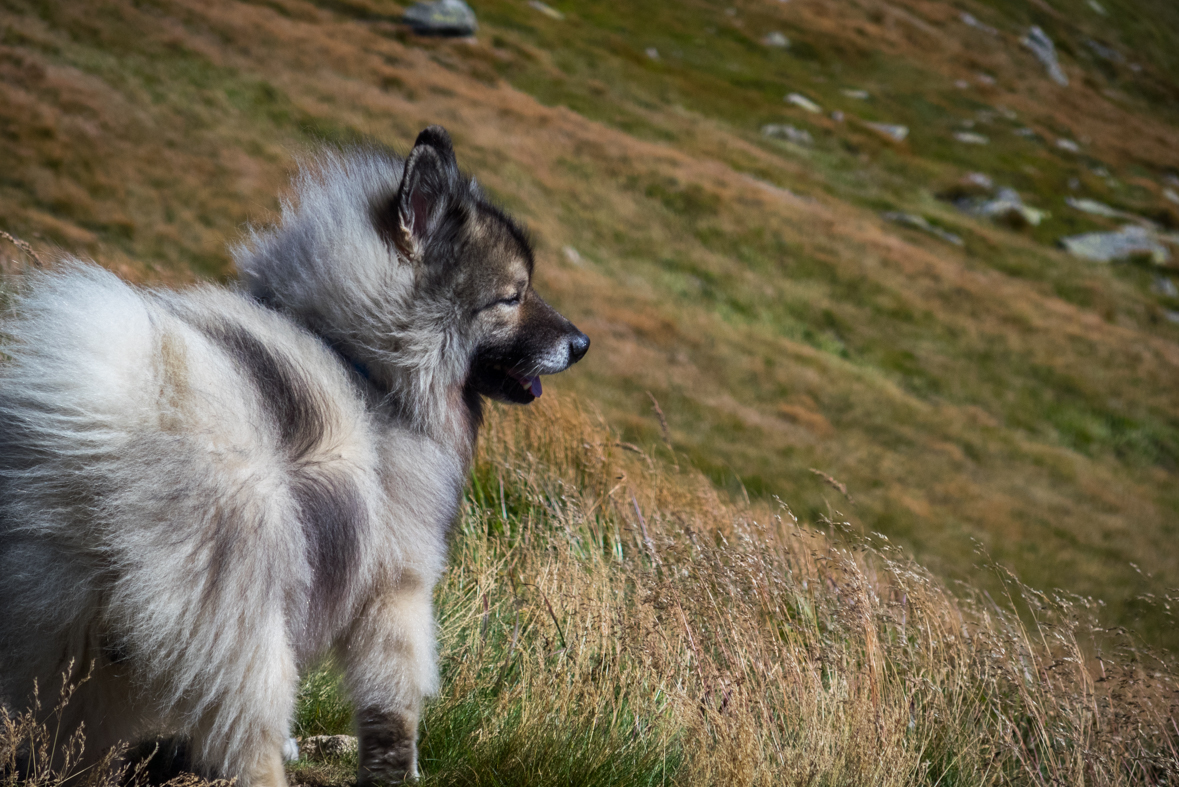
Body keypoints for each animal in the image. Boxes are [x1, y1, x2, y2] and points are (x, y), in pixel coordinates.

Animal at [0, 126, 589, 782]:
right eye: (512, 297)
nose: (582, 343)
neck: (372, 366)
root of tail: (117, 427)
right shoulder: (398, 589)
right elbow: (395, 712)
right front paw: (395, 771)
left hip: (73, 647)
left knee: (65, 741)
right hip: (243, 635)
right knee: (246, 739)